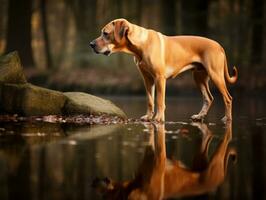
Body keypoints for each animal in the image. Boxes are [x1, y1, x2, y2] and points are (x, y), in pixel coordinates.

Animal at [90, 18, 238, 122]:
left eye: (105, 33)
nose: (91, 44)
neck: (141, 44)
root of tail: (219, 46)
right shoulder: (148, 79)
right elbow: (150, 100)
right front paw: (148, 116)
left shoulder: (160, 78)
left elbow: (160, 100)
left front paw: (158, 118)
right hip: (199, 77)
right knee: (208, 98)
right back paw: (199, 116)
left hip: (215, 75)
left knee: (228, 98)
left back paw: (227, 118)